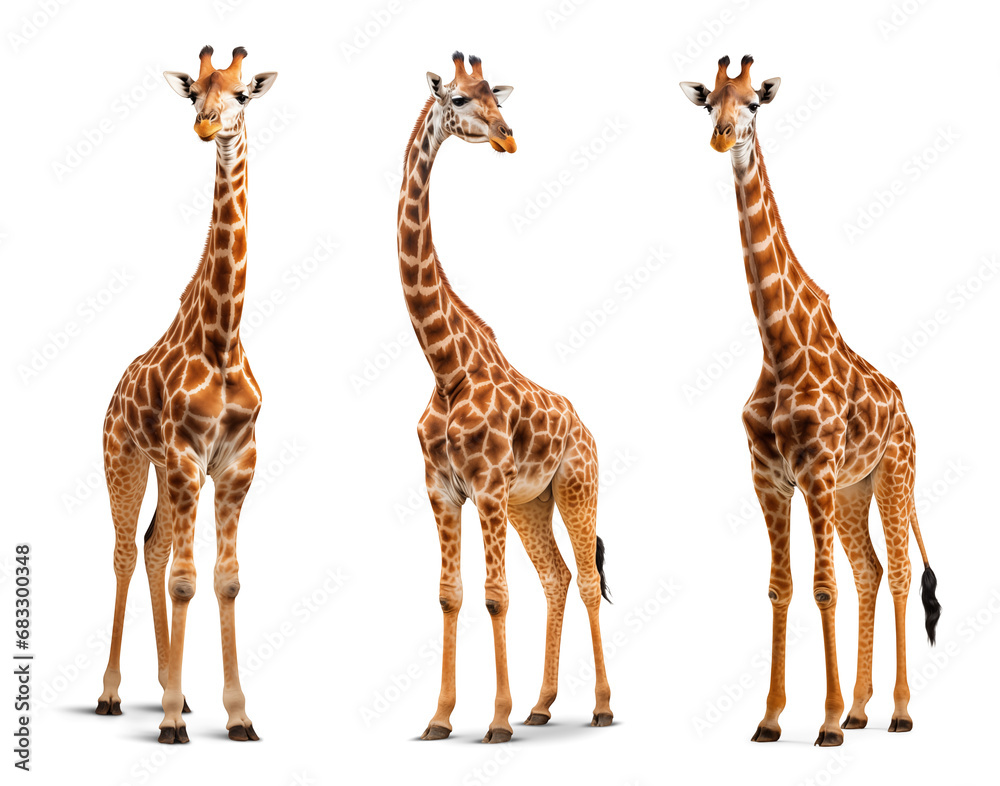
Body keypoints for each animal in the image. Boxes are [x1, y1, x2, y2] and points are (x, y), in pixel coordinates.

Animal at [95, 45, 277, 744]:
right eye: (195, 90)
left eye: (242, 94)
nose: (205, 124)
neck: (222, 337)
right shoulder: (181, 457)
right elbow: (185, 580)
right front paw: (171, 720)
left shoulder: (234, 465)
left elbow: (223, 581)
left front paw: (238, 714)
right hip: (125, 459)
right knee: (126, 553)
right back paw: (114, 694)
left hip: (170, 473)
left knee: (151, 549)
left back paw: (175, 692)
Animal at [398, 52, 614, 744]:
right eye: (460, 99)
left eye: (498, 97)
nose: (508, 135)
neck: (446, 367)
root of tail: (587, 428)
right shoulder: (443, 489)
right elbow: (451, 593)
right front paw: (439, 719)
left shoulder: (487, 487)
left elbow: (496, 595)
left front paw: (494, 721)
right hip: (530, 505)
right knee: (557, 577)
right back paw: (542, 705)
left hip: (575, 487)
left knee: (588, 579)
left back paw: (601, 706)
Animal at [680, 55, 941, 746]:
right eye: (709, 102)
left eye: (753, 103)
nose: (721, 137)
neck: (778, 343)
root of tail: (908, 413)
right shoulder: (769, 476)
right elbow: (781, 587)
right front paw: (772, 719)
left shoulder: (816, 471)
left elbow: (822, 587)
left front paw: (822, 723)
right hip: (854, 490)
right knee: (869, 571)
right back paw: (861, 709)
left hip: (892, 476)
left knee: (898, 572)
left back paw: (898, 712)